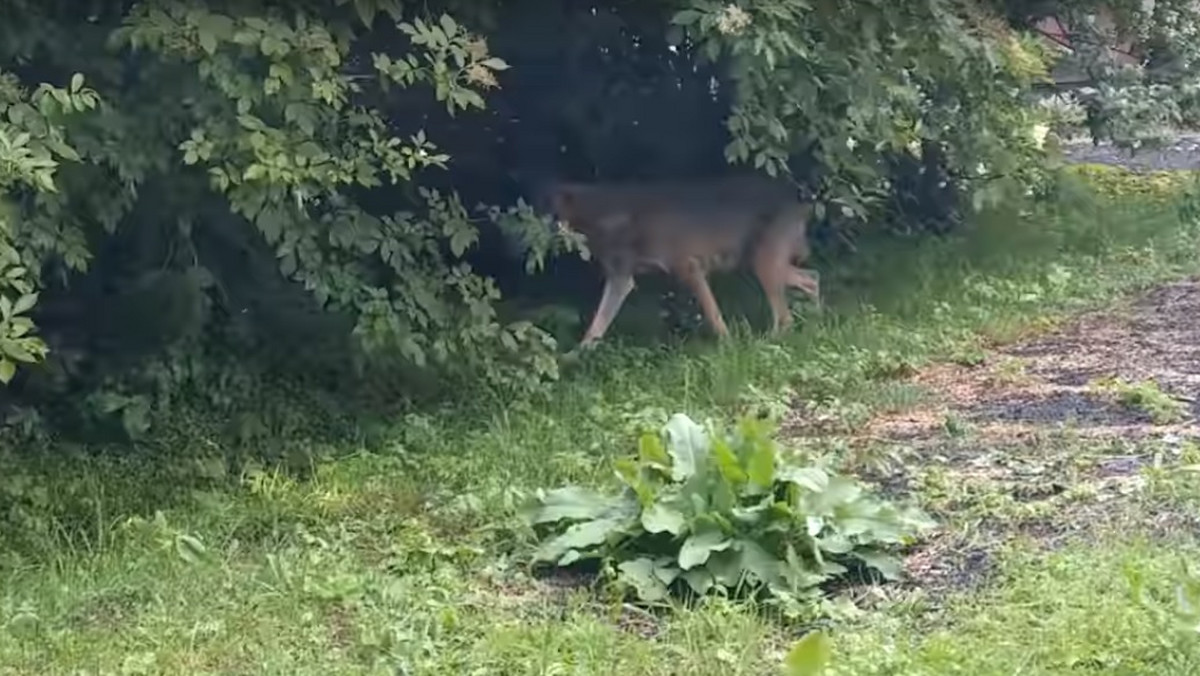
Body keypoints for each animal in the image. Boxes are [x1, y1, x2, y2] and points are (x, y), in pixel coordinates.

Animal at [544, 172, 825, 348]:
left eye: (548, 212)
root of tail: (802, 201)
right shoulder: (621, 279)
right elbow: (595, 328)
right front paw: (574, 359)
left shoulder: (688, 268)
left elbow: (714, 316)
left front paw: (730, 346)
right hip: (758, 263)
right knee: (812, 278)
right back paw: (816, 325)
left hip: (762, 264)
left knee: (786, 315)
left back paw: (771, 342)